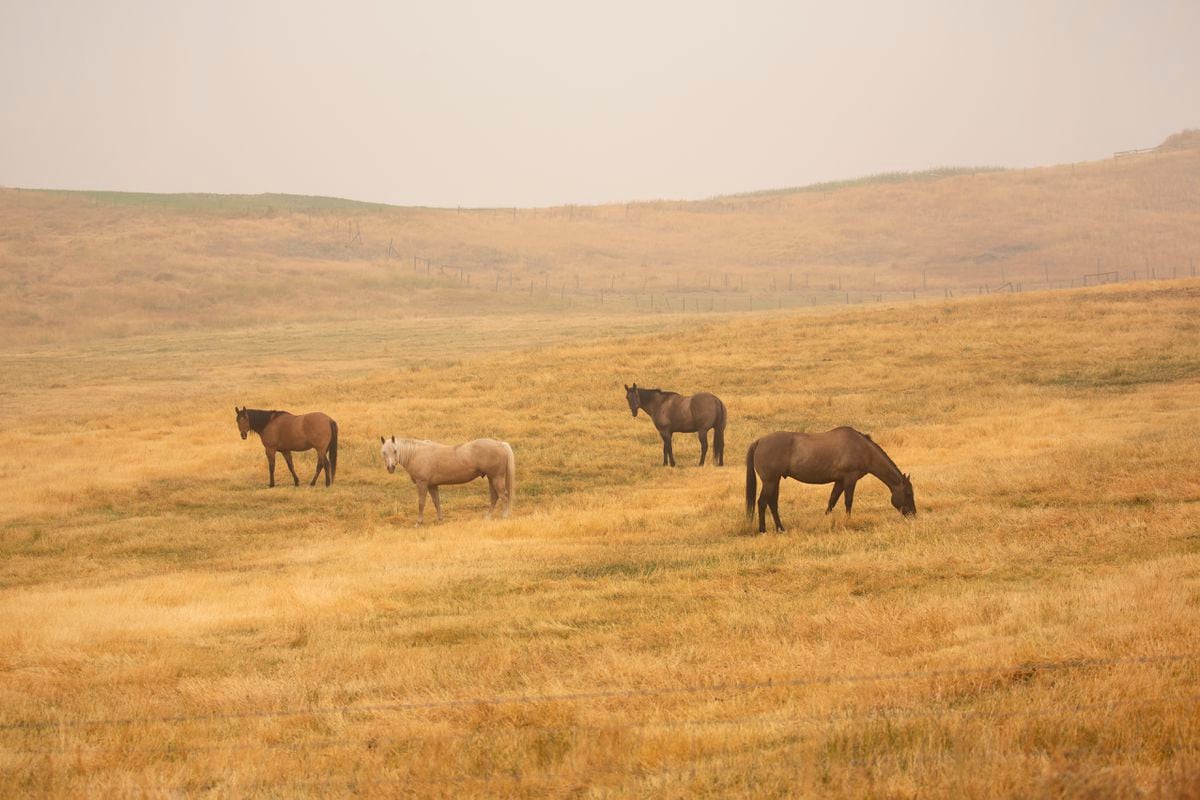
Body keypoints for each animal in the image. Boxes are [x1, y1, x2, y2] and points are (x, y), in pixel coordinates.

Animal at [379, 438, 516, 525]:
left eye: (395, 451)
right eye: (383, 452)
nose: (390, 467)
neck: (416, 454)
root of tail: (500, 444)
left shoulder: (422, 483)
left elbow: (421, 503)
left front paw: (419, 522)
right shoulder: (432, 485)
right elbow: (436, 502)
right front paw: (440, 519)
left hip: (496, 478)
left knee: (503, 496)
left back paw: (504, 516)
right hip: (491, 478)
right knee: (494, 497)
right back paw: (487, 517)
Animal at [744, 429, 912, 534]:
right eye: (909, 494)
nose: (912, 514)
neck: (862, 448)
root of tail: (759, 441)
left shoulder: (839, 481)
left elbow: (832, 501)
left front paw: (825, 522)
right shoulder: (849, 479)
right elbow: (848, 502)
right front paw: (847, 522)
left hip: (775, 481)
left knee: (772, 503)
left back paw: (780, 528)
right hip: (770, 481)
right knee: (762, 502)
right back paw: (763, 530)